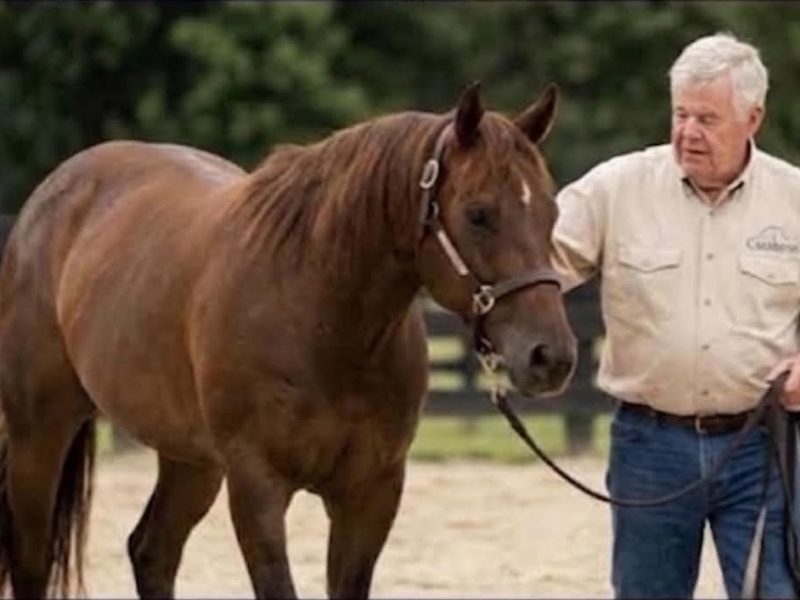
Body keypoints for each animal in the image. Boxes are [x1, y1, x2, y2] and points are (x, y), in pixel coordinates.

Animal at [0, 82, 576, 599]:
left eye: (553, 213)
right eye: (478, 214)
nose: (551, 356)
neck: (322, 321)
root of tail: (52, 195)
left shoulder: (371, 491)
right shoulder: (257, 485)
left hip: (191, 458)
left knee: (151, 552)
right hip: (39, 433)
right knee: (31, 563)